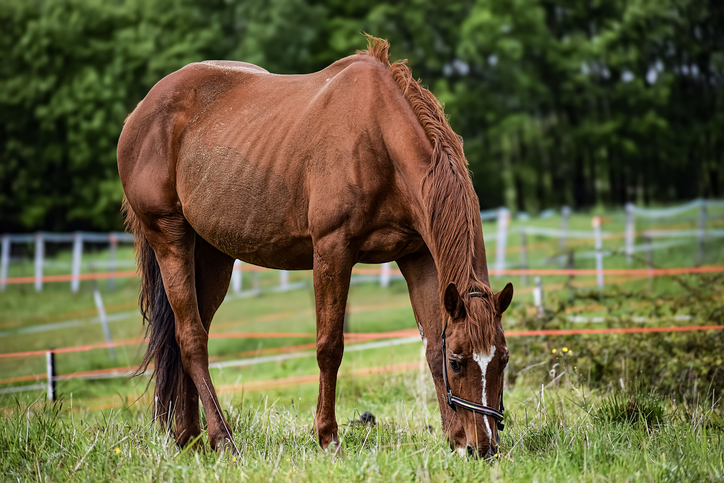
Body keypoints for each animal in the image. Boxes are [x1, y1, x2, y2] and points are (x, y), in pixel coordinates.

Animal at [118, 35, 514, 459]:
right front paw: (328, 437)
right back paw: (222, 438)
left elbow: (431, 346)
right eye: (460, 362)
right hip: (169, 236)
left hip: (212, 255)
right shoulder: (332, 252)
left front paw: (453, 438)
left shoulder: (418, 257)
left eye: (503, 359)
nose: (484, 447)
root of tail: (141, 112)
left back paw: (191, 436)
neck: (379, 137)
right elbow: (330, 347)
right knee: (191, 338)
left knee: (193, 335)